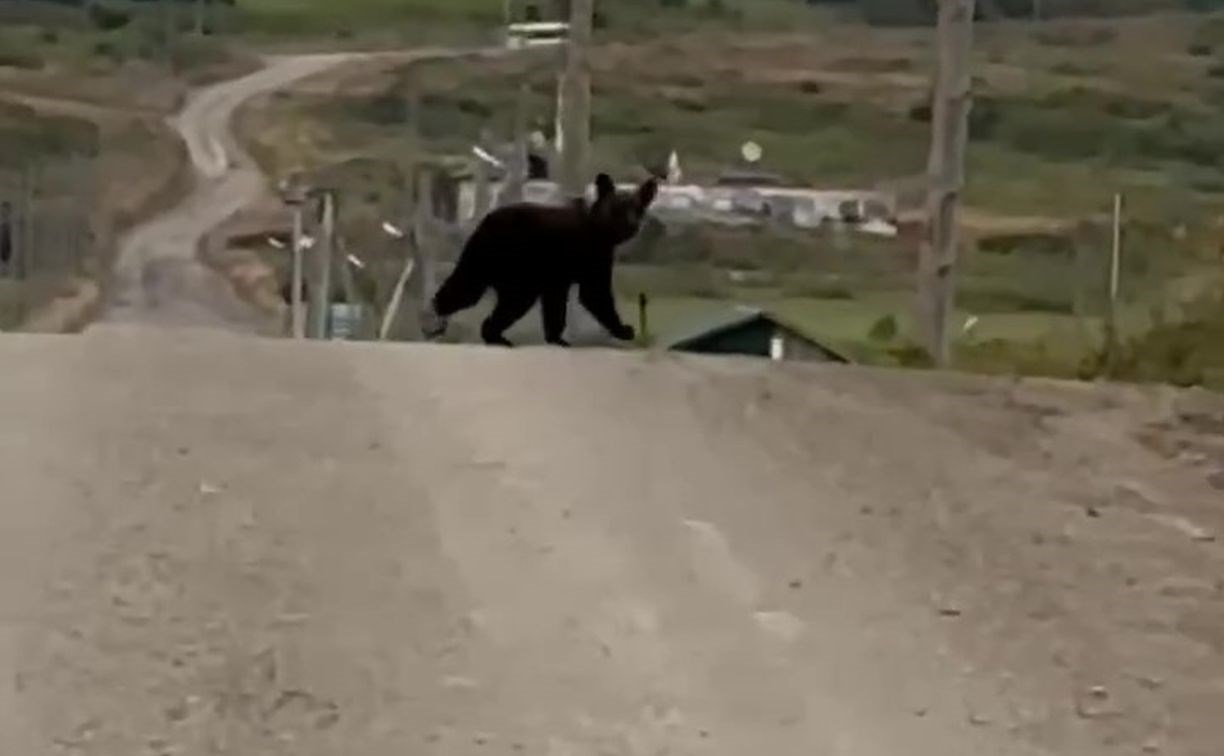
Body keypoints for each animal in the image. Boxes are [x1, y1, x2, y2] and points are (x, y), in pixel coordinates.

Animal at [421, 172, 658, 348]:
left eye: (638, 209)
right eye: (618, 209)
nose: (632, 224)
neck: (599, 233)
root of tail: (483, 225)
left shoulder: (556, 279)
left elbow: (555, 307)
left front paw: (556, 339)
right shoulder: (589, 259)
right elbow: (595, 295)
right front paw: (624, 330)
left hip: (494, 267)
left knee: (470, 291)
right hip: (512, 269)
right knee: (487, 299)